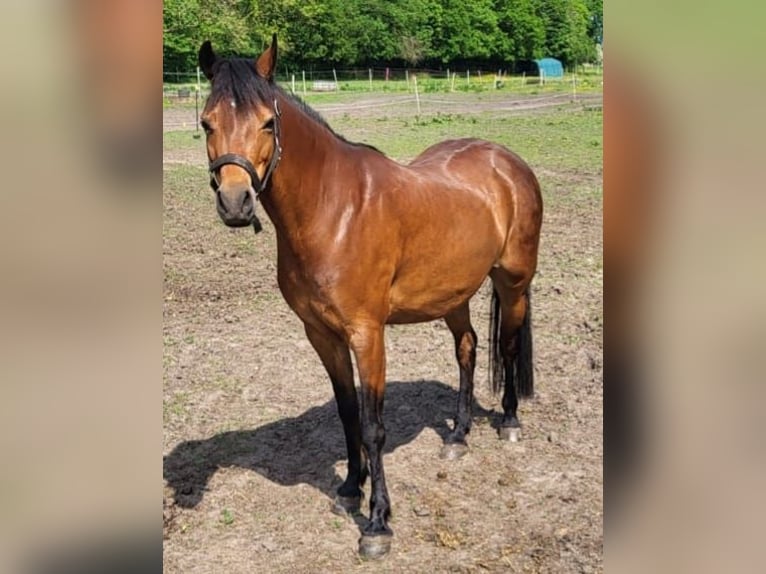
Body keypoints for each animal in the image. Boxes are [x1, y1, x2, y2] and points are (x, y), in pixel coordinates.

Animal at [198, 33, 544, 560]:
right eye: (206, 123)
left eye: (268, 122)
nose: (236, 204)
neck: (333, 209)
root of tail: (507, 162)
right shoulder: (321, 334)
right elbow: (347, 414)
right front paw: (348, 489)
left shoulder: (367, 334)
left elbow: (372, 425)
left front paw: (378, 522)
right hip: (455, 294)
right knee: (467, 349)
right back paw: (458, 435)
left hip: (513, 281)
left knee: (505, 346)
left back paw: (508, 422)